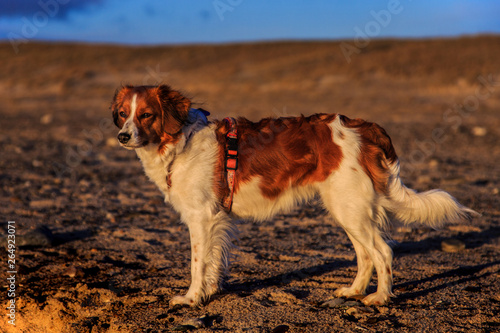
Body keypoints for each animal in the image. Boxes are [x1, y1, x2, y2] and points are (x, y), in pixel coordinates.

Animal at [110, 84, 476, 304]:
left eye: (147, 115)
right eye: (123, 114)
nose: (122, 137)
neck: (179, 142)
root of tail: (363, 126)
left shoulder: (202, 217)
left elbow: (197, 263)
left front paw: (190, 298)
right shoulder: (215, 220)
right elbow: (213, 261)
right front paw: (209, 293)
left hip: (349, 208)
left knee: (382, 252)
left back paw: (379, 299)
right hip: (347, 208)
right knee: (365, 254)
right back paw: (353, 291)